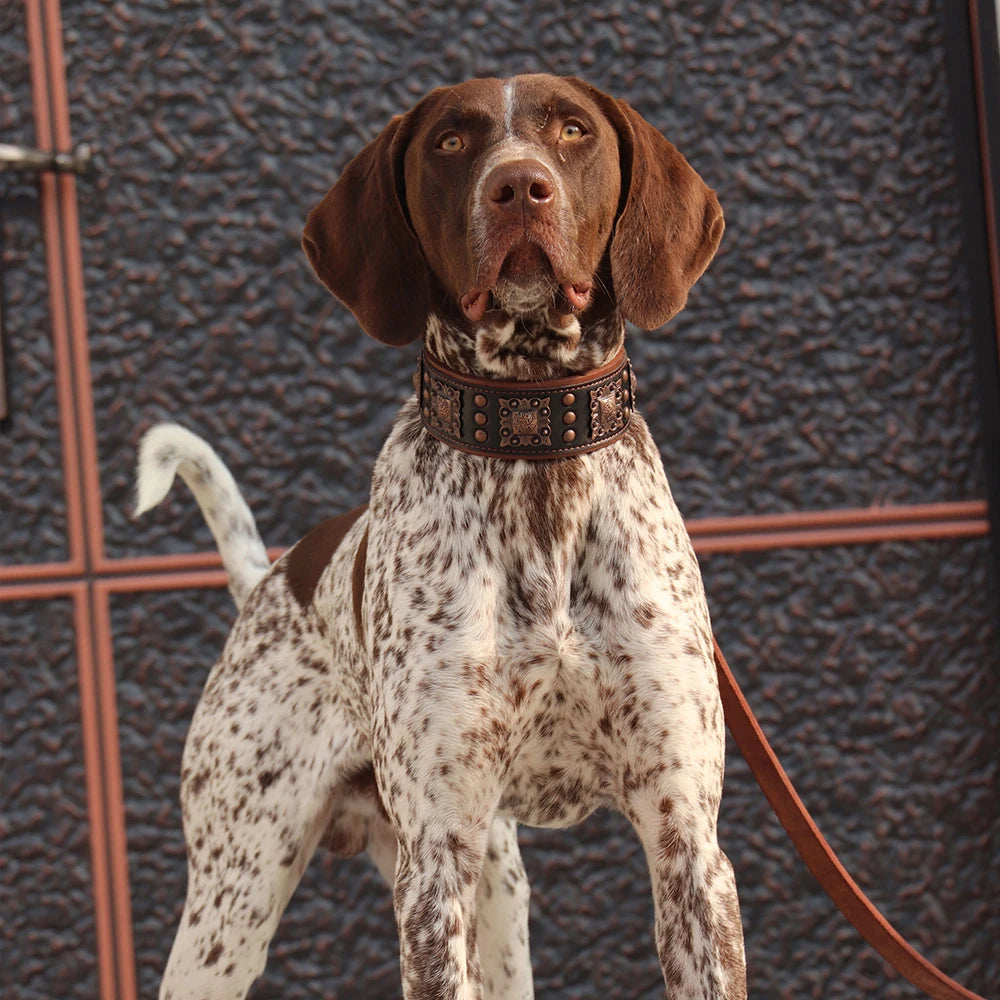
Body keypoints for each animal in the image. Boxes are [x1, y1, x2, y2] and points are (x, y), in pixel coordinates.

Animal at [141, 76, 748, 1000]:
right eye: (451, 143)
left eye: (573, 131)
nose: (520, 187)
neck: (533, 442)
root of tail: (271, 579)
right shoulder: (435, 861)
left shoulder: (686, 840)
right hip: (236, 897)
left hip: (500, 880)